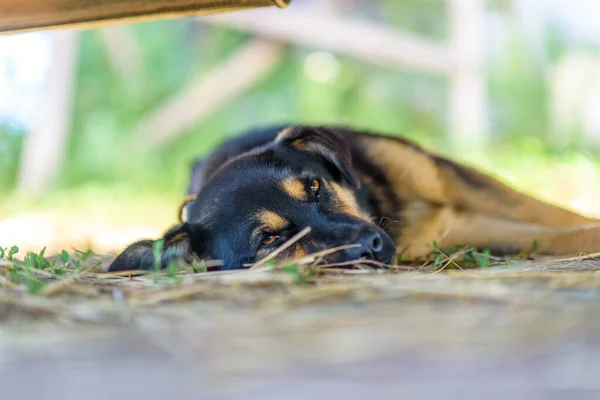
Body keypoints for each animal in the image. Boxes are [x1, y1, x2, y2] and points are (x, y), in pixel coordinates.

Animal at [108, 125, 600, 272]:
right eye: (270, 240)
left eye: (314, 186)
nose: (374, 244)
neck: (381, 200)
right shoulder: (451, 231)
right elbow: (554, 236)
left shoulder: (455, 180)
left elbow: (553, 213)